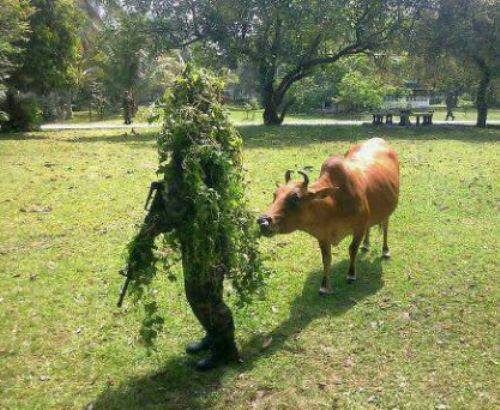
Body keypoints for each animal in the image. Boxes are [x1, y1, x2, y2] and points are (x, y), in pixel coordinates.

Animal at [257, 137, 400, 295]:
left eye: (295, 197)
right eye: (275, 195)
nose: (263, 222)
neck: (333, 205)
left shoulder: (359, 228)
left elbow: (352, 249)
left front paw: (351, 275)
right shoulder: (323, 236)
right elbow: (326, 259)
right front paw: (324, 286)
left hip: (388, 211)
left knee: (385, 226)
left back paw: (385, 250)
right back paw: (366, 244)